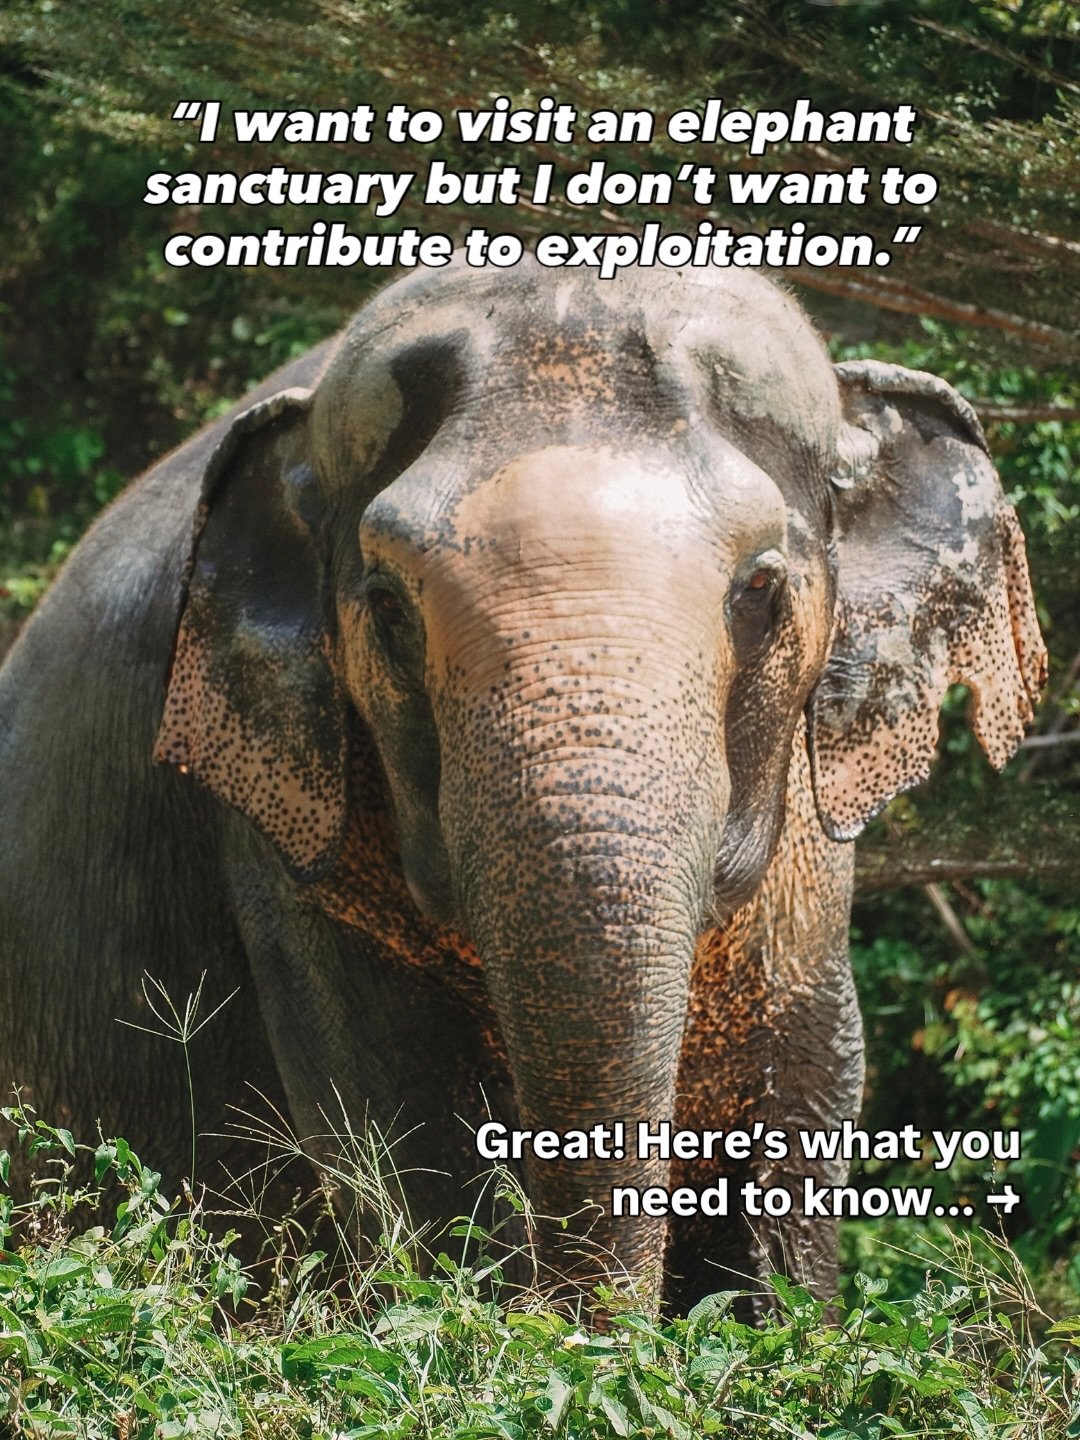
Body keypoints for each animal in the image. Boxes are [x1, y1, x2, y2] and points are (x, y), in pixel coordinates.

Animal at [0, 261, 1045, 1313]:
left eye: (761, 588)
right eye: (387, 607)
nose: (605, 1330)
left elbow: (800, 1094)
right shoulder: (278, 825)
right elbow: (405, 1116)